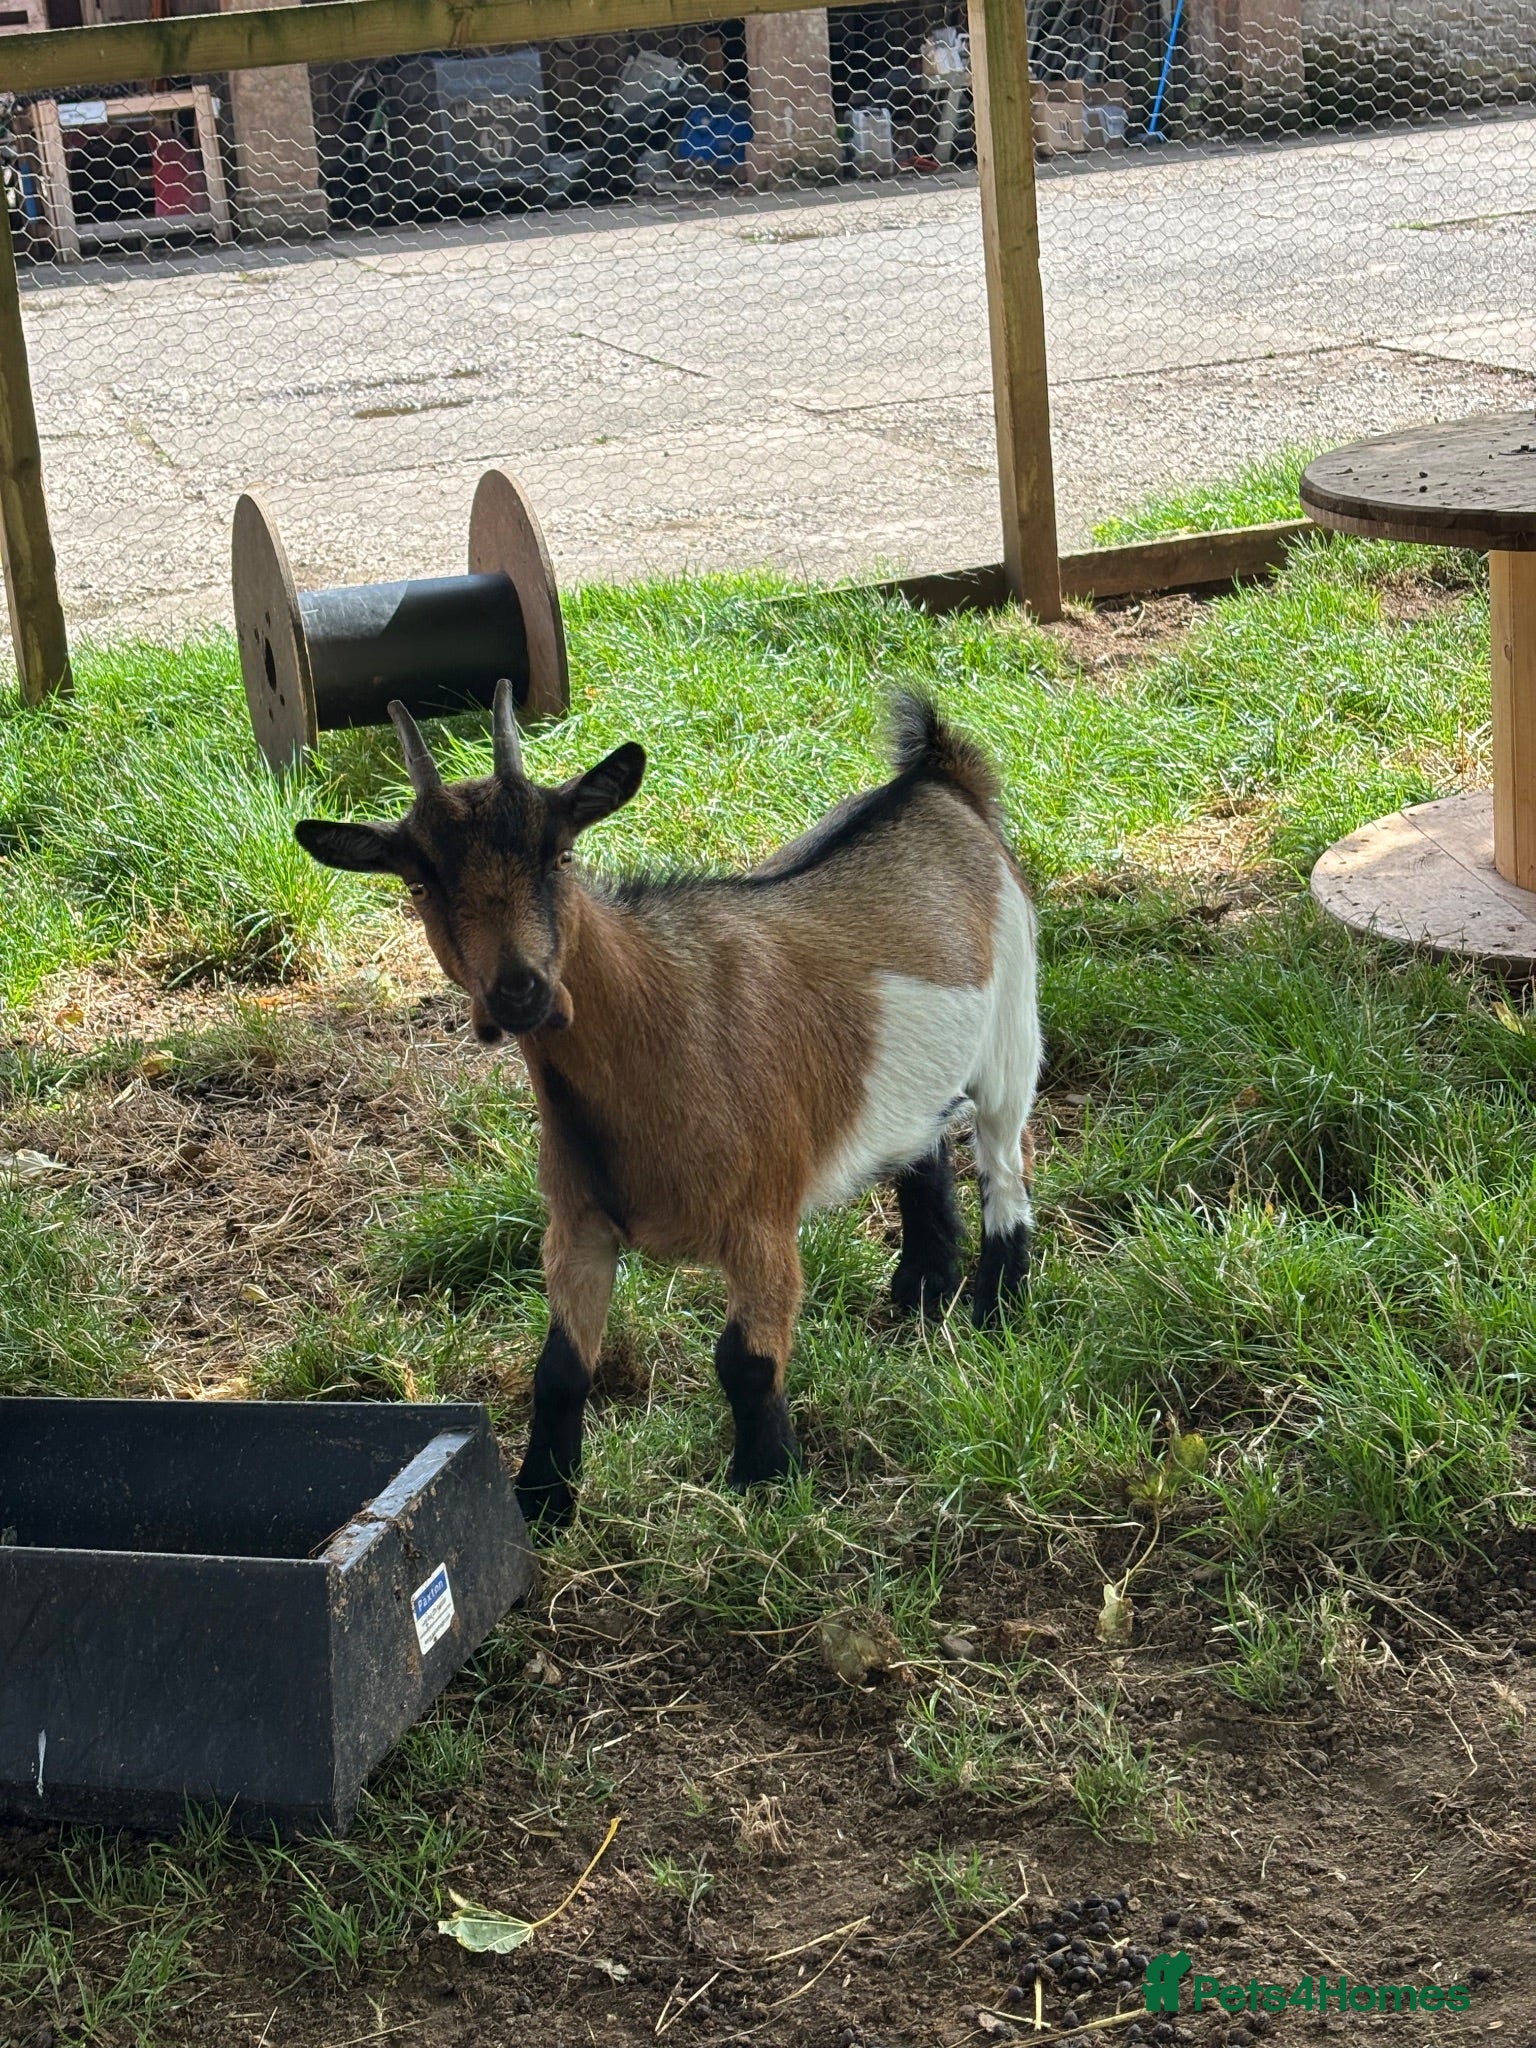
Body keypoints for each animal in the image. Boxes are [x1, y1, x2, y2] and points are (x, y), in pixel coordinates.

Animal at [296, 683, 1040, 1530]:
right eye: (419, 884)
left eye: (561, 856)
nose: (518, 990)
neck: (664, 1028)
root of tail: (938, 779)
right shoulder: (579, 1225)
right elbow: (559, 1370)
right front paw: (542, 1501)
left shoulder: (760, 1217)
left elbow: (744, 1361)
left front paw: (765, 1483)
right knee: (922, 1142)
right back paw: (922, 1288)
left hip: (1013, 1020)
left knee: (1004, 1163)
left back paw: (994, 1308)